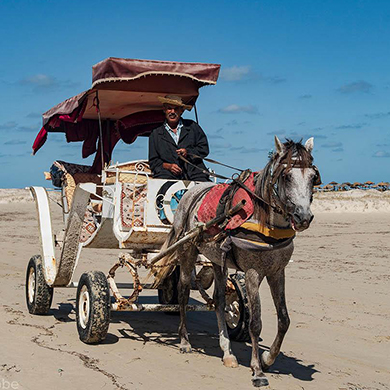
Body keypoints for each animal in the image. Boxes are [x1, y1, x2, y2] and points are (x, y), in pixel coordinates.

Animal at [152, 137, 320, 386]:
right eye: (287, 176)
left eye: (313, 176)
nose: (303, 217)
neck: (264, 219)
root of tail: (187, 194)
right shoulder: (252, 272)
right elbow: (256, 323)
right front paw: (258, 371)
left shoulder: (277, 271)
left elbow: (284, 319)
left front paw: (268, 359)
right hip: (187, 251)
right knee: (182, 294)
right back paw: (184, 341)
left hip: (217, 259)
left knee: (219, 300)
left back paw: (227, 352)